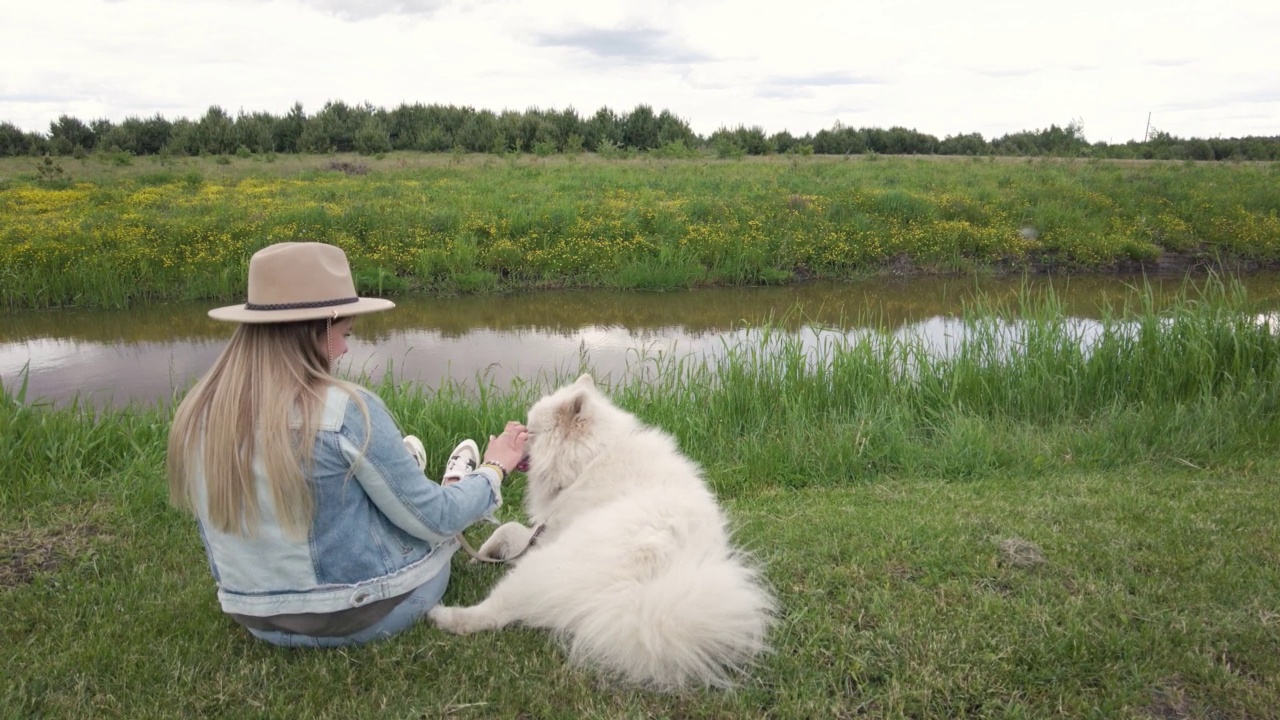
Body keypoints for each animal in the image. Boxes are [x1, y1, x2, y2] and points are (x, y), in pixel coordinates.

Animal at [430, 371, 773, 686]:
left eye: (531, 431)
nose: (509, 431)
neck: (590, 461)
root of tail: (639, 599)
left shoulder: (551, 534)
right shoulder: (547, 530)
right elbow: (508, 530)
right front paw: (481, 555)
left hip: (545, 567)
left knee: (495, 613)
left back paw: (444, 615)